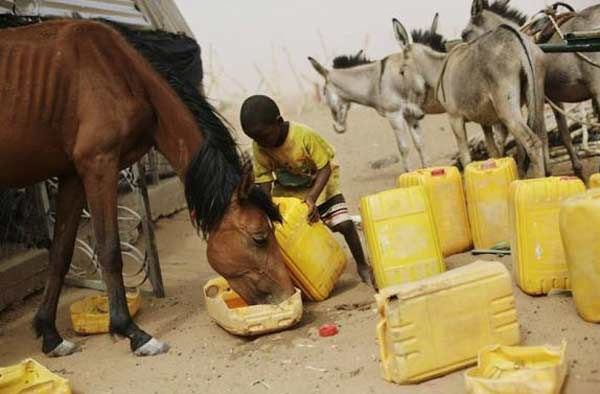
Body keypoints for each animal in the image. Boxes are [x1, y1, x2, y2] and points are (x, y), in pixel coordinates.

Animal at [0, 16, 296, 358]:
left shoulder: (72, 174)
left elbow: (60, 253)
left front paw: (50, 335)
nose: (287, 294)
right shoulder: (99, 165)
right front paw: (132, 333)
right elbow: (109, 250)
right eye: (260, 237)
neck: (116, 70)